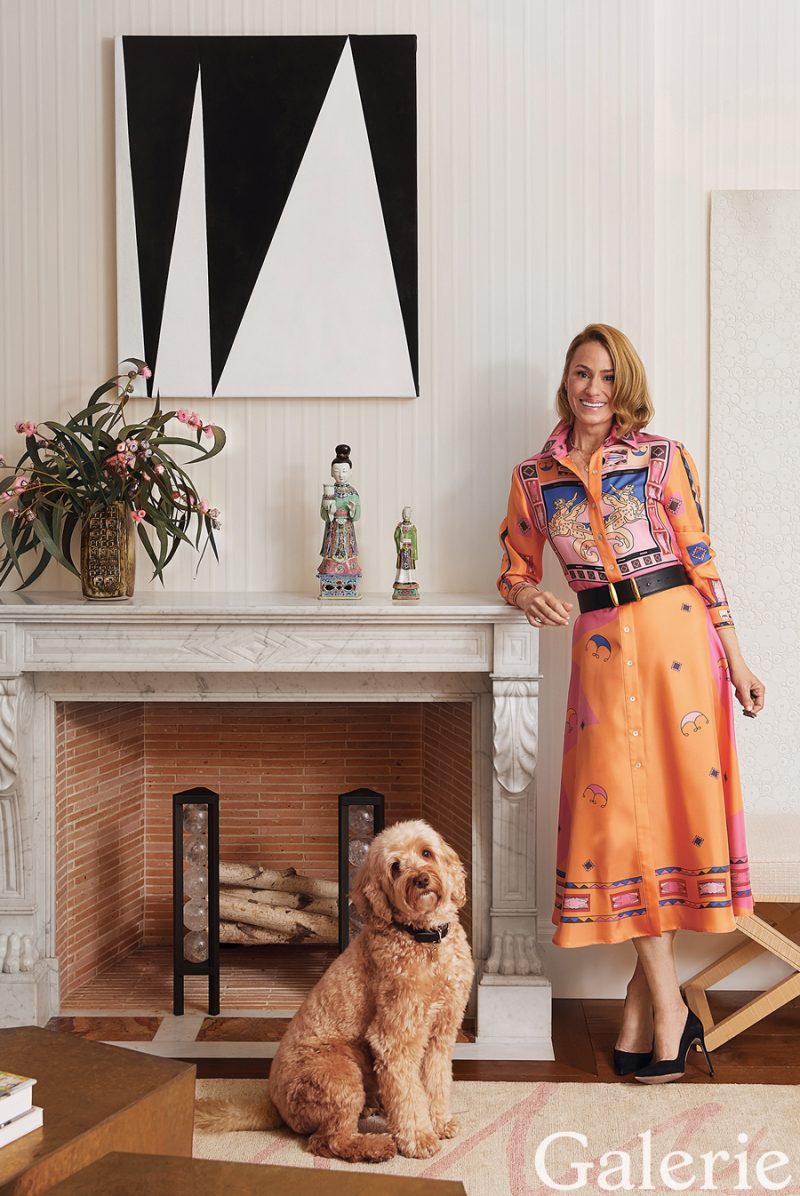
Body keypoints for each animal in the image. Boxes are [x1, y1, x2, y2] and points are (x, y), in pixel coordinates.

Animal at [196, 818, 471, 1162]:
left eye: (426, 852)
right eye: (395, 867)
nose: (421, 879)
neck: (423, 939)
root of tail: (275, 1105)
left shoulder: (441, 1032)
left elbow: (436, 1080)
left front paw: (440, 1122)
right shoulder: (395, 1038)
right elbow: (408, 1092)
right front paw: (418, 1138)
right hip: (340, 1072)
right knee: (329, 1141)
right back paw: (376, 1146)